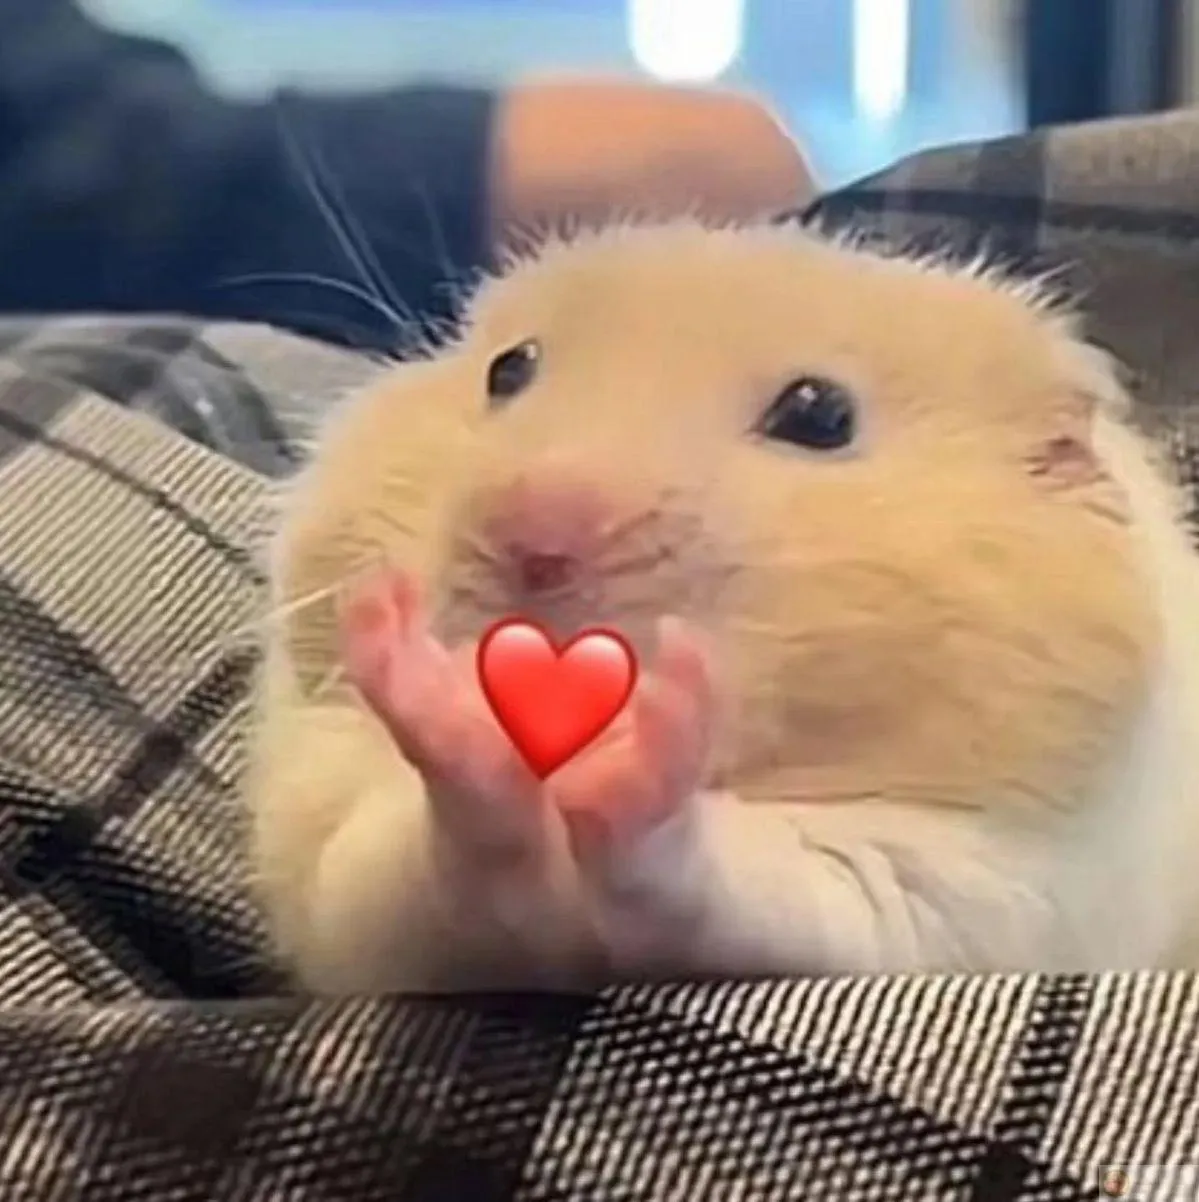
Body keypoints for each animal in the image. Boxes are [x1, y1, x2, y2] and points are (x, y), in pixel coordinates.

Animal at [243, 219, 1199, 995]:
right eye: (508, 369)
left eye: (819, 413)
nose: (531, 536)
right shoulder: (352, 878)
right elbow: (429, 858)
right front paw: (434, 687)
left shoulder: (971, 886)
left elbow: (740, 874)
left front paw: (647, 735)